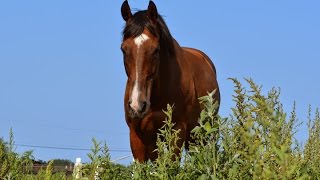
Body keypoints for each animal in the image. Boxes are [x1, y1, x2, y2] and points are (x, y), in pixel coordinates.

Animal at [120, 0, 220, 163]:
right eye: (123, 49)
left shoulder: (177, 130)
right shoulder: (136, 136)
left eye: (156, 49)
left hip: (202, 135)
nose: (137, 105)